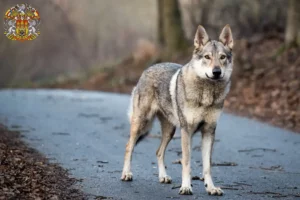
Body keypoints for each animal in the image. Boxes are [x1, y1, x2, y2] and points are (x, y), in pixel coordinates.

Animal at [120, 25, 233, 195]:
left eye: (222, 57)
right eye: (207, 57)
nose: (217, 72)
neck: (207, 93)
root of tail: (147, 69)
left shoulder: (208, 131)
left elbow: (207, 166)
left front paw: (211, 188)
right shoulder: (186, 131)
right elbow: (186, 162)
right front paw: (186, 187)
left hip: (170, 131)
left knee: (158, 152)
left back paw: (163, 177)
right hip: (141, 124)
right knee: (128, 146)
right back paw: (126, 174)